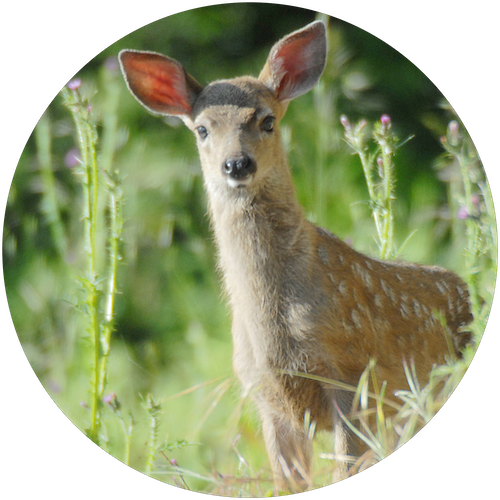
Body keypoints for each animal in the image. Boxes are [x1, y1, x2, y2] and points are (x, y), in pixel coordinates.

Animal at [120, 20, 472, 492]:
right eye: (202, 129)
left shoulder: (353, 376)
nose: (237, 164)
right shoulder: (265, 396)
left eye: (267, 121)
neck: (275, 324)